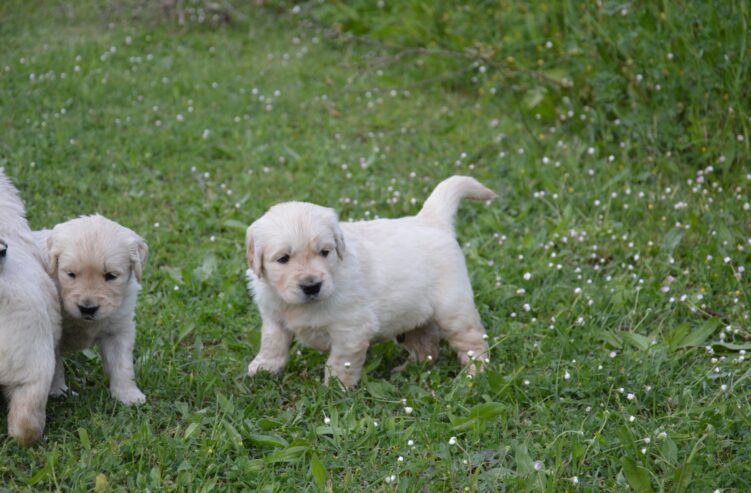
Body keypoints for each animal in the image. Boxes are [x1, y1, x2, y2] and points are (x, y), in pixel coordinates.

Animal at [36, 214, 151, 404]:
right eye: (71, 274)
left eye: (111, 276)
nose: (87, 308)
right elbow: (55, 365)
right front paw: (57, 391)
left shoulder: (119, 328)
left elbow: (122, 364)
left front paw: (128, 395)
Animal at [244, 175, 496, 386]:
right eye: (283, 259)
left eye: (325, 252)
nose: (312, 286)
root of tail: (431, 220)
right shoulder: (274, 316)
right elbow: (272, 342)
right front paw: (263, 369)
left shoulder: (351, 329)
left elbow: (340, 362)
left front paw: (335, 389)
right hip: (414, 313)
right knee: (427, 344)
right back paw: (408, 369)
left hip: (453, 309)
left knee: (473, 341)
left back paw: (473, 375)